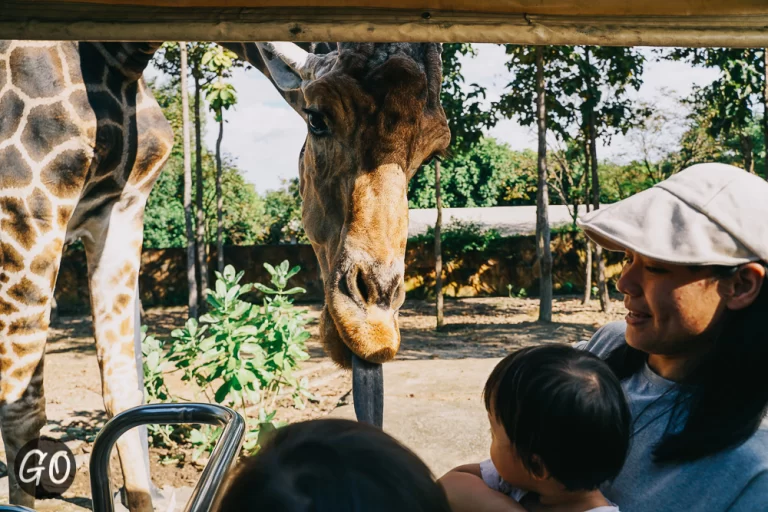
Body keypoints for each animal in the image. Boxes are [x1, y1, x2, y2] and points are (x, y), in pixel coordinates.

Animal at [0, 41, 450, 512]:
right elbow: (21, 409)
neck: (120, 57)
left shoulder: (120, 208)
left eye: (435, 150)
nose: (372, 331)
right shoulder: (28, 201)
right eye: (317, 118)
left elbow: (124, 383)